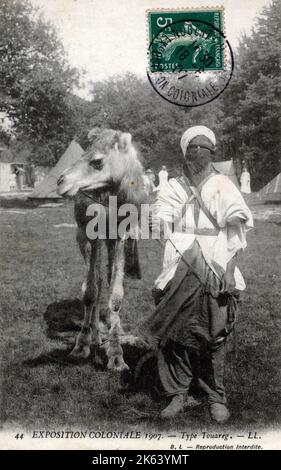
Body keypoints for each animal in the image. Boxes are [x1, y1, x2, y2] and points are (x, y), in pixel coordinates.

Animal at [55, 127, 145, 370]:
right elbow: (90, 291)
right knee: (95, 279)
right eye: (82, 153)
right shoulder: (89, 233)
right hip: (85, 236)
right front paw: (81, 345)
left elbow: (116, 293)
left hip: (110, 240)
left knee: (107, 277)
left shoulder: (122, 236)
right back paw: (95, 336)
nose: (61, 181)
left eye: (97, 161)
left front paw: (116, 355)